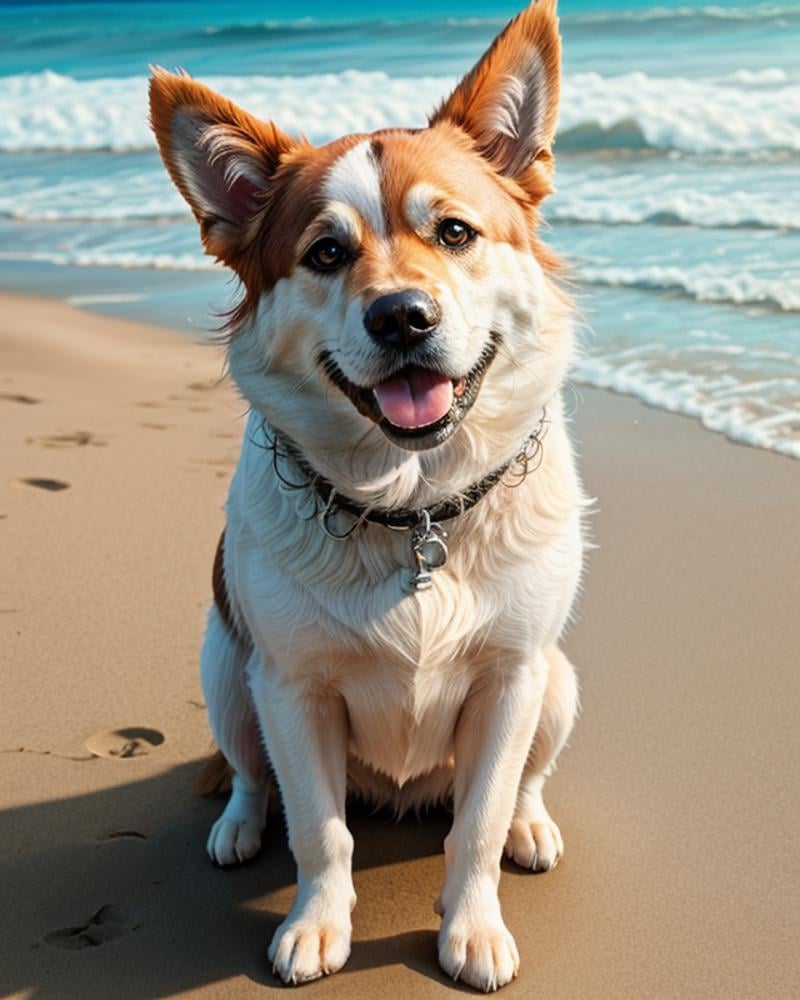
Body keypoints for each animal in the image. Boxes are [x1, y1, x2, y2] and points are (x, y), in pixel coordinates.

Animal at [150, 0, 584, 984]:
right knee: (250, 773)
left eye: (455, 233)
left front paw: (473, 927)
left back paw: (533, 826)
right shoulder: (293, 687)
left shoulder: (512, 679)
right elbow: (319, 831)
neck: (410, 507)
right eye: (326, 252)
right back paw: (236, 826)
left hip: (559, 682)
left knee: (525, 783)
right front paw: (317, 924)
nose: (401, 318)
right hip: (226, 668)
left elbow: (478, 823)